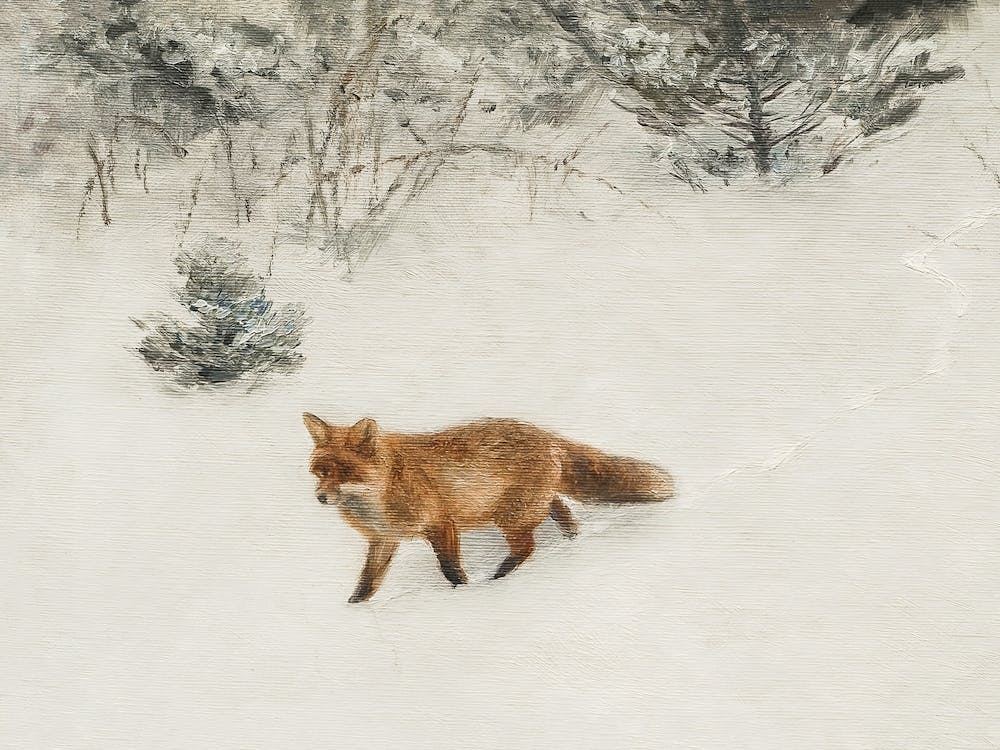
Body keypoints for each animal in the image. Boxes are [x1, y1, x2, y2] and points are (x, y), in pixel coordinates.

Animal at [302, 413, 674, 603]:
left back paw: (499, 578)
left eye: (344, 472)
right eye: (320, 471)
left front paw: (464, 595)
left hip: (510, 516)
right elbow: (366, 583)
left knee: (527, 546)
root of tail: (545, 434)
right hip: (527, 506)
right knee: (560, 510)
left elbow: (451, 570)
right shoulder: (383, 540)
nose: (320, 497)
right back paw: (572, 541)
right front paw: (354, 610)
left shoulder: (441, 524)